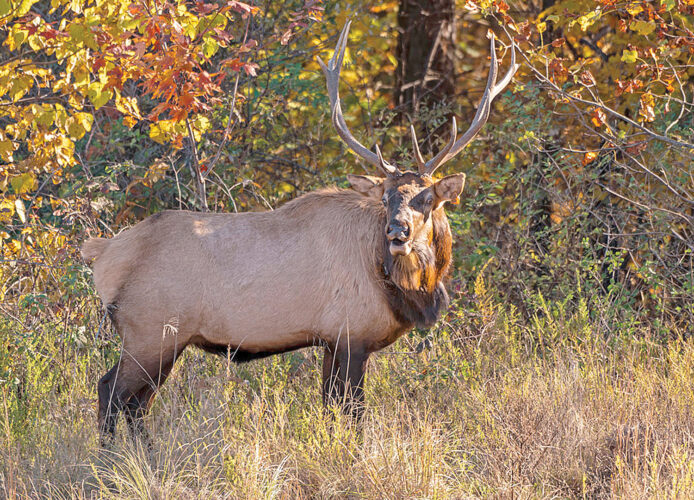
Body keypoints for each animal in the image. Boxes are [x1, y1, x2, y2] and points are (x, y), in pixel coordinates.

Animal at [81, 21, 518, 443]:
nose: (398, 231)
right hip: (150, 331)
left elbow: (331, 409)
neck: (401, 288)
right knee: (111, 393)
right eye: (386, 197)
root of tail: (103, 255)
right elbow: (352, 414)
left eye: (428, 199)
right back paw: (107, 461)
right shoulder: (351, 334)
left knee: (136, 405)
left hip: (162, 341)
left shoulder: (331, 341)